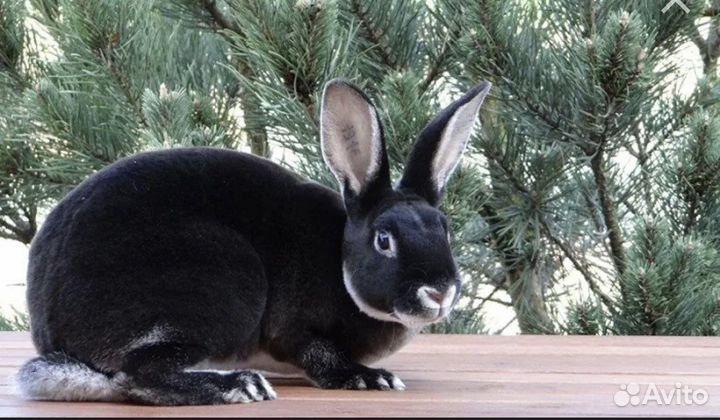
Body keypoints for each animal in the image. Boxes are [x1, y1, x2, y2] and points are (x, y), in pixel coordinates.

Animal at [16, 79, 491, 406]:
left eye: (444, 228)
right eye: (384, 239)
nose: (439, 292)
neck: (339, 262)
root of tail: (53, 328)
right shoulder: (294, 328)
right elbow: (318, 354)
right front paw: (371, 378)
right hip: (225, 286)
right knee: (137, 375)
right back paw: (241, 386)